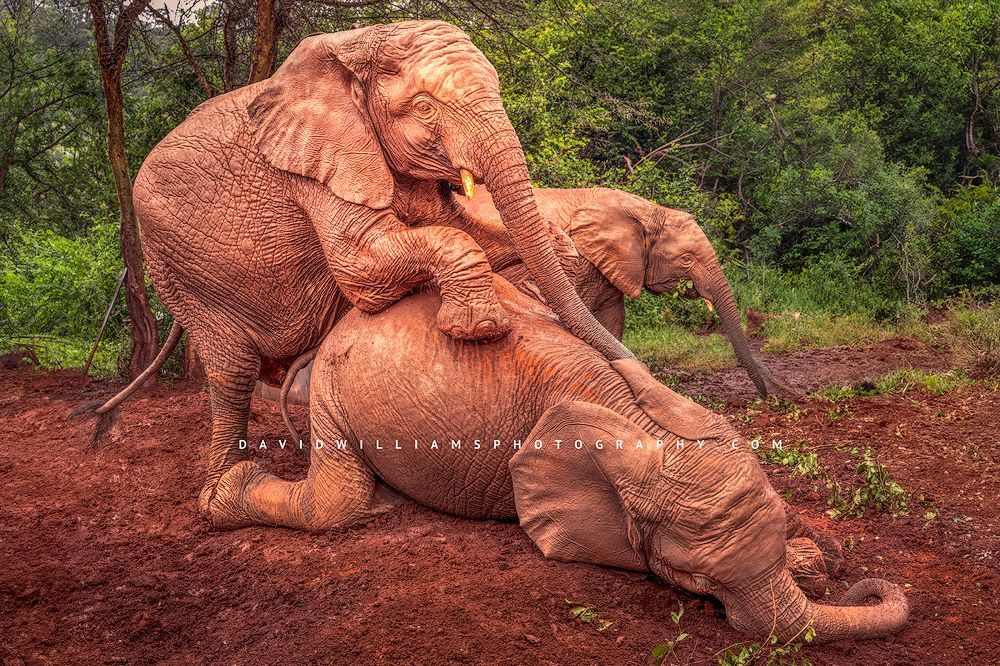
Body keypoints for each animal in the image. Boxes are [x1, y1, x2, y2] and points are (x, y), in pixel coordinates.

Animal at [82, 20, 633, 513]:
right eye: (424, 107)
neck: (359, 44)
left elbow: (460, 228)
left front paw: (560, 263)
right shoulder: (316, 167)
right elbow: (362, 265)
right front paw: (476, 328)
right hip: (178, 268)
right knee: (232, 372)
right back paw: (220, 493)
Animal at [208, 276, 908, 644]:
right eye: (696, 581)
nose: (860, 583)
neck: (633, 420)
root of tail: (336, 330)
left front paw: (813, 559)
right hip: (334, 389)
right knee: (336, 501)